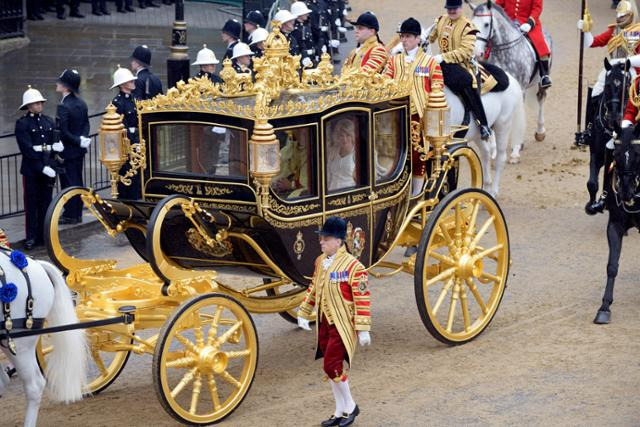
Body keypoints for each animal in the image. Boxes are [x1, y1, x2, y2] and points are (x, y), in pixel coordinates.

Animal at [468, 0, 552, 155]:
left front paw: (517, 145)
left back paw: (540, 131)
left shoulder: (522, 89)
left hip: (541, 82)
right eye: (472, 24)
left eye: (486, 24)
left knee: (541, 99)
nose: (476, 53)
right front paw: (494, 148)